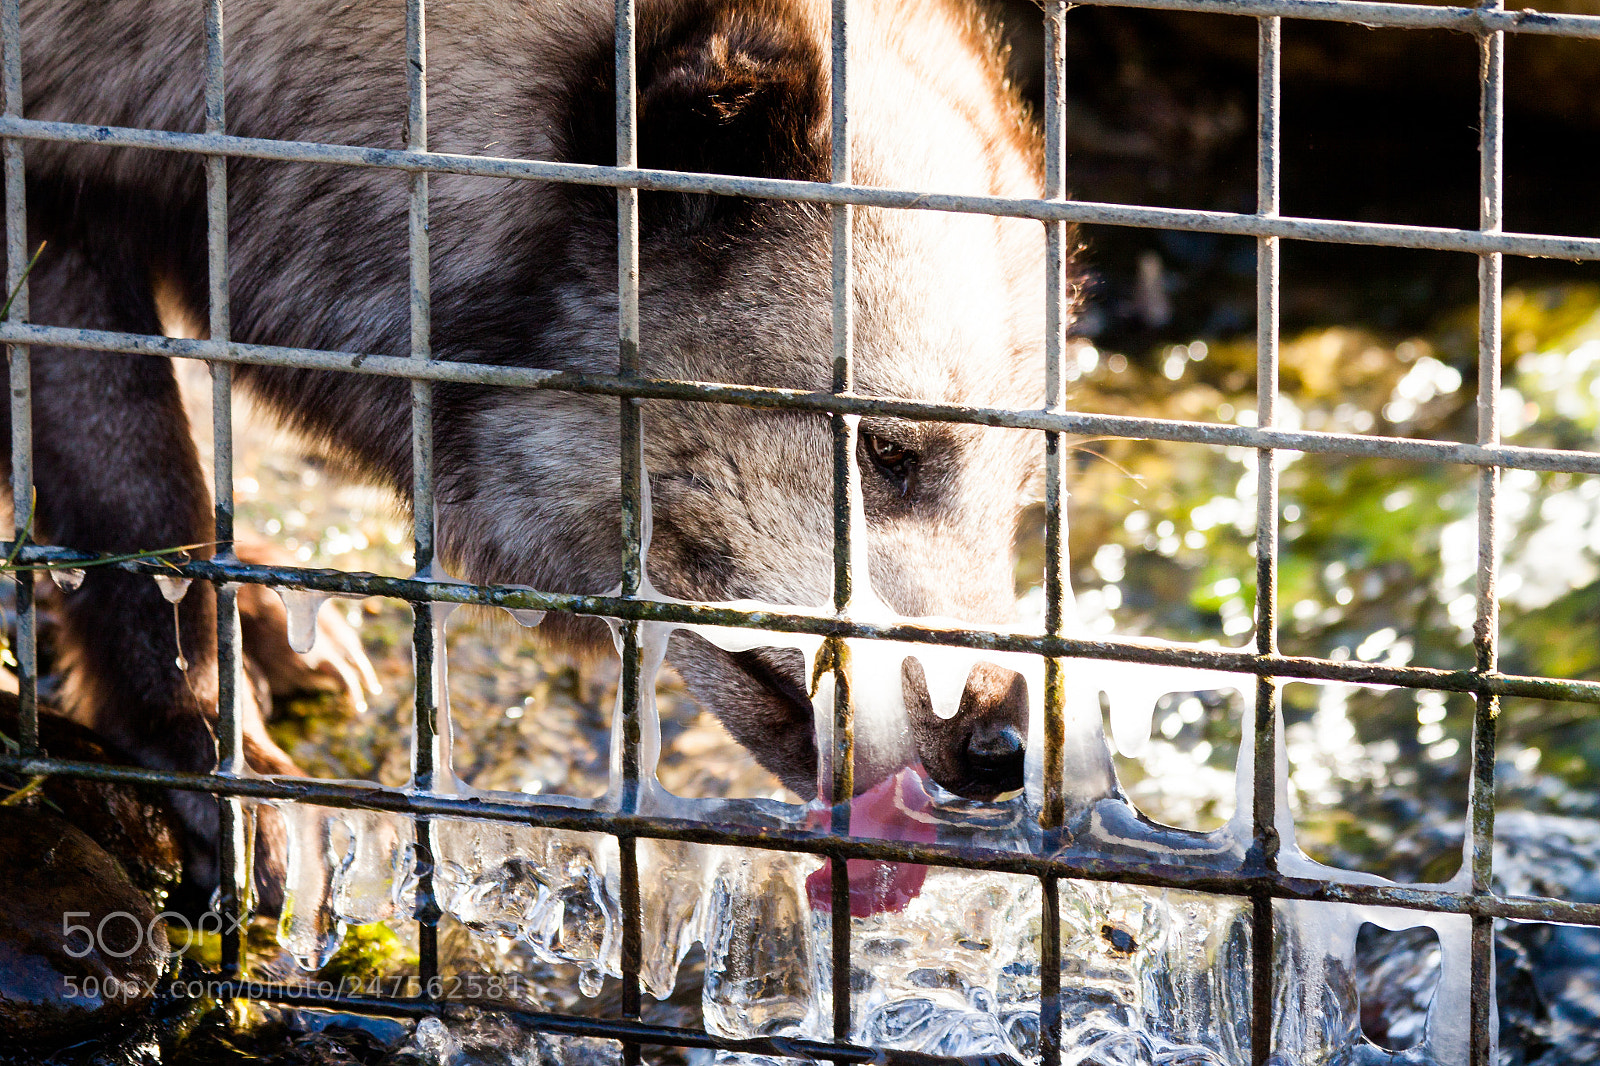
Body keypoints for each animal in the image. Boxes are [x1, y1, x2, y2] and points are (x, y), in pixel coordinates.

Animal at [4, 0, 1055, 897]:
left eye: (1018, 503)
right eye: (888, 455)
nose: (1006, 749)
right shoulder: (57, 172)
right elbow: (136, 493)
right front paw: (204, 747)